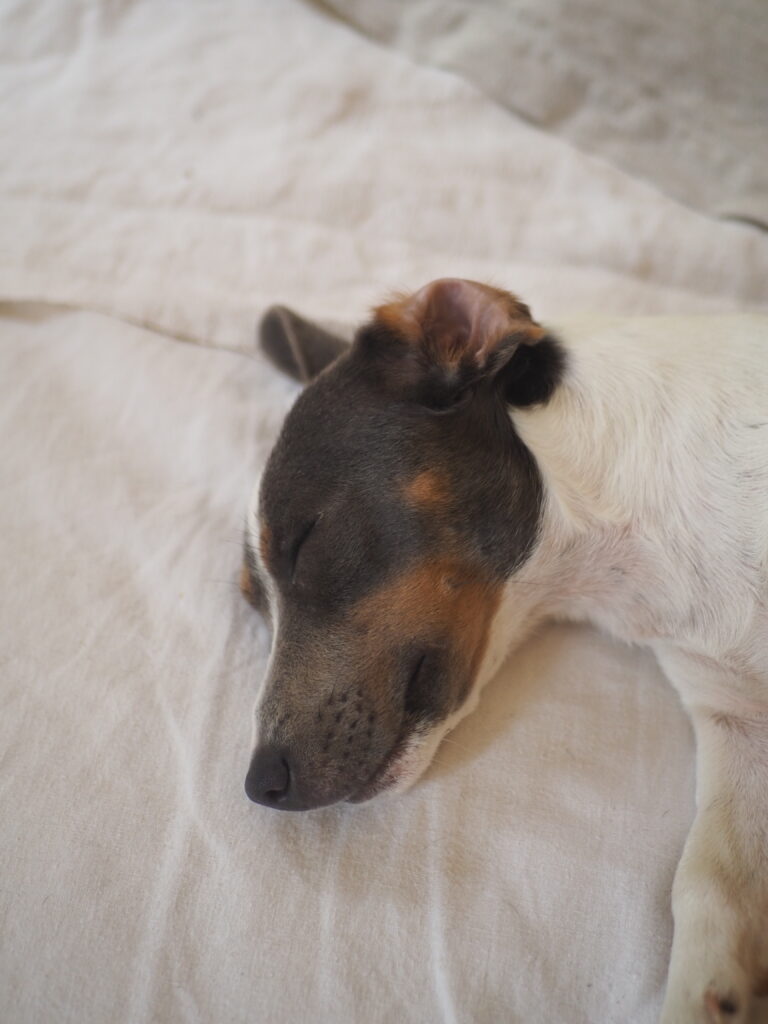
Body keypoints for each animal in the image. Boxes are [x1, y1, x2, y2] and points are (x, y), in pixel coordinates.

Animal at [240, 278, 768, 1024]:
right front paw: (708, 994)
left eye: (305, 540)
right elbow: (709, 880)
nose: (261, 782)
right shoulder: (737, 716)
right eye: (252, 603)